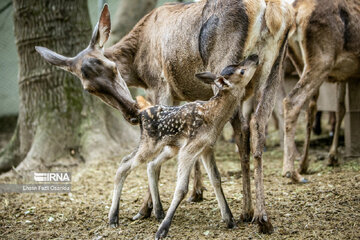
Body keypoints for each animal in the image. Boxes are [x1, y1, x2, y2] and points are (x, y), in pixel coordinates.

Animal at [35, 0, 296, 232]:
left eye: (113, 68)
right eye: (89, 88)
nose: (131, 113)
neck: (137, 64)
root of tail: (271, 9)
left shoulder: (159, 83)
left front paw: (148, 209)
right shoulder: (184, 95)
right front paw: (196, 192)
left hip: (224, 63)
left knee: (241, 129)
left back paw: (247, 212)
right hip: (275, 69)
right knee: (258, 124)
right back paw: (261, 217)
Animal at [282, 0, 358, 182]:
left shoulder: (342, 74)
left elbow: (340, 108)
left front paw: (333, 156)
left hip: (300, 61)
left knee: (310, 107)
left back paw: (302, 164)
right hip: (321, 60)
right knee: (292, 101)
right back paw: (291, 171)